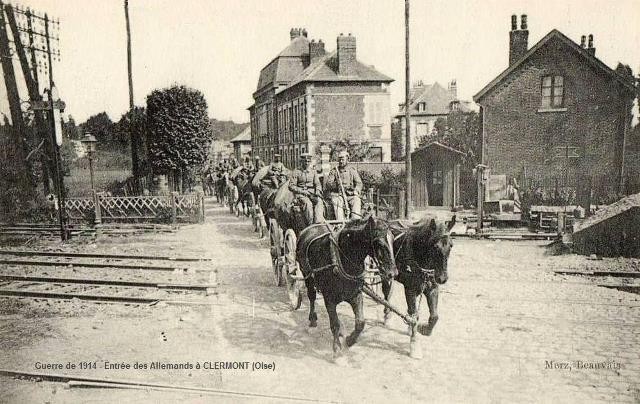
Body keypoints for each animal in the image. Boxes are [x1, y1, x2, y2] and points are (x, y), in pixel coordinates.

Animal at [298, 218, 398, 362]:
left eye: (393, 239)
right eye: (378, 243)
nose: (393, 273)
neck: (341, 259)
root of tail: (308, 229)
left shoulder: (355, 294)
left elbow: (360, 322)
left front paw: (350, 340)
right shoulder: (329, 299)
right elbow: (334, 324)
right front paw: (337, 351)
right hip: (306, 275)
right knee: (311, 296)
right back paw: (312, 321)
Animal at [382, 216, 452, 358]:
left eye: (451, 245)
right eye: (435, 246)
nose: (442, 278)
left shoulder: (432, 288)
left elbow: (434, 316)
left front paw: (423, 329)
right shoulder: (410, 289)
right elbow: (415, 316)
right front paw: (414, 344)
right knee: (386, 295)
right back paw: (387, 316)